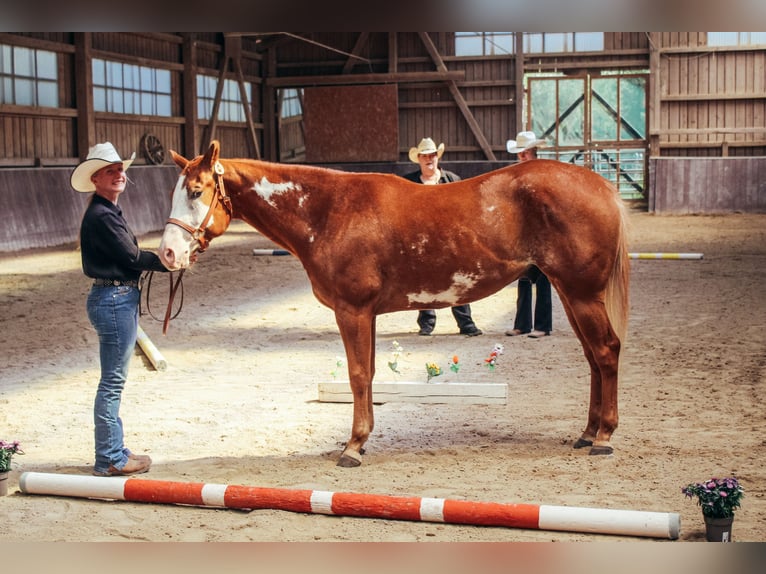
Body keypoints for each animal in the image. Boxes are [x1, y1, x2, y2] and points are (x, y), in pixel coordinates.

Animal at [159, 140, 630, 467]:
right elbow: (365, 376)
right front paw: (359, 441)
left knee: (606, 352)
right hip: (570, 293)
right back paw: (587, 433)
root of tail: (600, 185)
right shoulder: (363, 314)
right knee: (593, 357)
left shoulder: (352, 311)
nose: (166, 254)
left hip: (581, 294)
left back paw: (605, 437)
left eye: (197, 191)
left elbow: (357, 376)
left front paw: (352, 447)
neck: (329, 211)